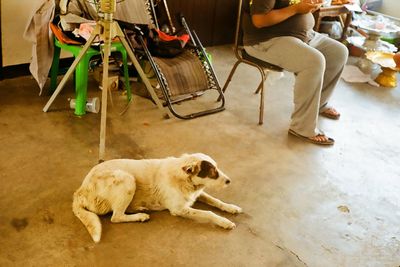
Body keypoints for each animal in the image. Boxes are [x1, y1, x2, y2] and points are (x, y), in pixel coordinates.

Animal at [72, 153, 242, 243]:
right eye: (212, 172)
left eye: (217, 168)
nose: (229, 181)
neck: (183, 179)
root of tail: (80, 191)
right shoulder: (179, 209)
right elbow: (208, 213)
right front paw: (225, 222)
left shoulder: (197, 194)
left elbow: (216, 201)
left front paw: (231, 208)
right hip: (127, 179)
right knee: (116, 217)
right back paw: (140, 216)